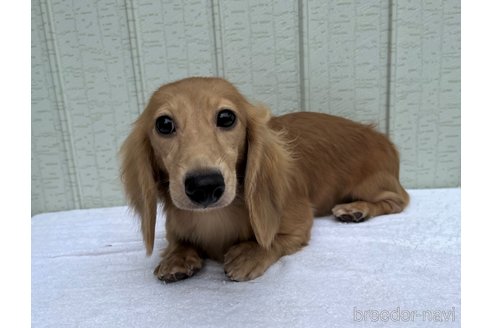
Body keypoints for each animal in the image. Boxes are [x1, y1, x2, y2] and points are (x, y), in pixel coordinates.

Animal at [119, 77, 408, 282]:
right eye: (164, 124)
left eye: (226, 117)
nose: (204, 186)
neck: (215, 219)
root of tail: (382, 138)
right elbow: (178, 242)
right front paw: (176, 258)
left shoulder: (300, 222)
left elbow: (274, 239)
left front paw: (250, 253)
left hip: (373, 185)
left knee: (398, 201)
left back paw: (356, 209)